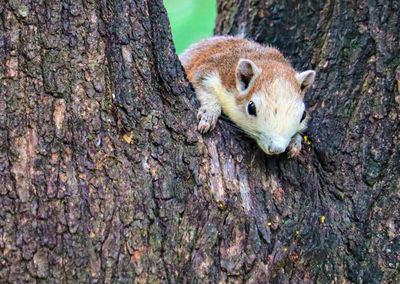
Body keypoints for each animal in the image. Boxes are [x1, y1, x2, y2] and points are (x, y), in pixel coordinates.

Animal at [180, 36, 316, 158]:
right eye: (251, 108)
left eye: (303, 115)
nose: (276, 148)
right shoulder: (208, 70)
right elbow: (203, 88)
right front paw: (210, 113)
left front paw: (296, 141)